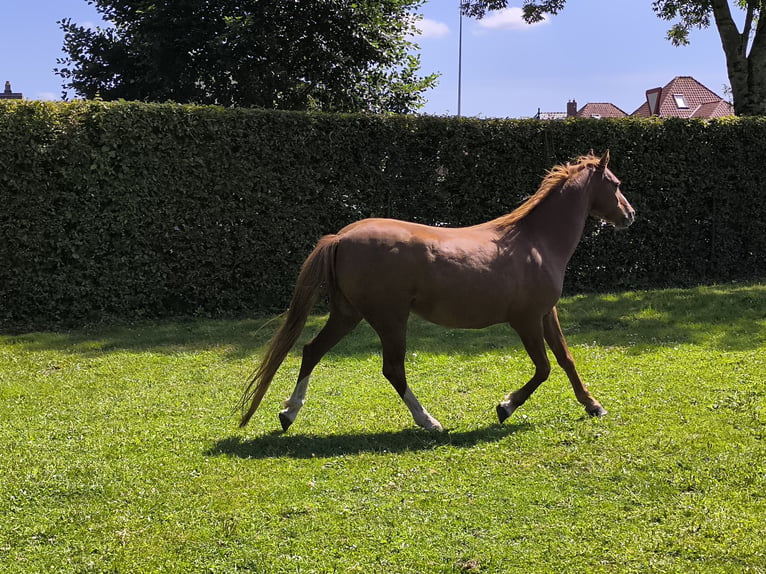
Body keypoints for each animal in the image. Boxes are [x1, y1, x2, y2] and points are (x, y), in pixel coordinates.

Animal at [240, 152, 636, 432]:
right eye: (615, 184)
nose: (630, 215)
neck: (534, 242)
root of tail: (340, 237)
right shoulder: (525, 320)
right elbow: (543, 368)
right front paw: (505, 407)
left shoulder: (545, 313)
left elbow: (566, 360)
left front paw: (593, 405)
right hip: (389, 319)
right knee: (392, 369)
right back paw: (429, 421)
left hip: (348, 314)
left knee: (311, 350)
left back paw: (288, 413)